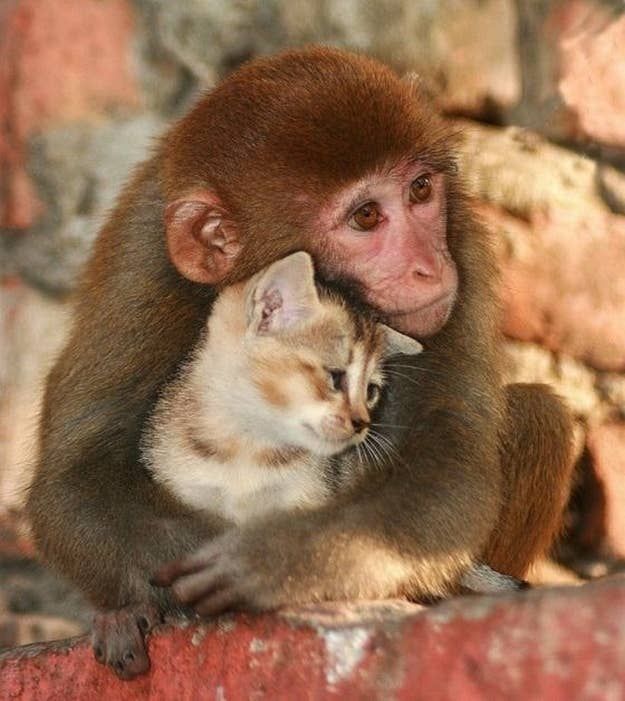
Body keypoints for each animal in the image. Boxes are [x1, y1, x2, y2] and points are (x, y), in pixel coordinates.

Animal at [26, 47, 572, 680]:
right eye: (366, 216)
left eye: (420, 189)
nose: (430, 268)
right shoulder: (141, 260)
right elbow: (74, 480)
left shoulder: (463, 240)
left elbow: (446, 472)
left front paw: (272, 561)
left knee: (536, 413)